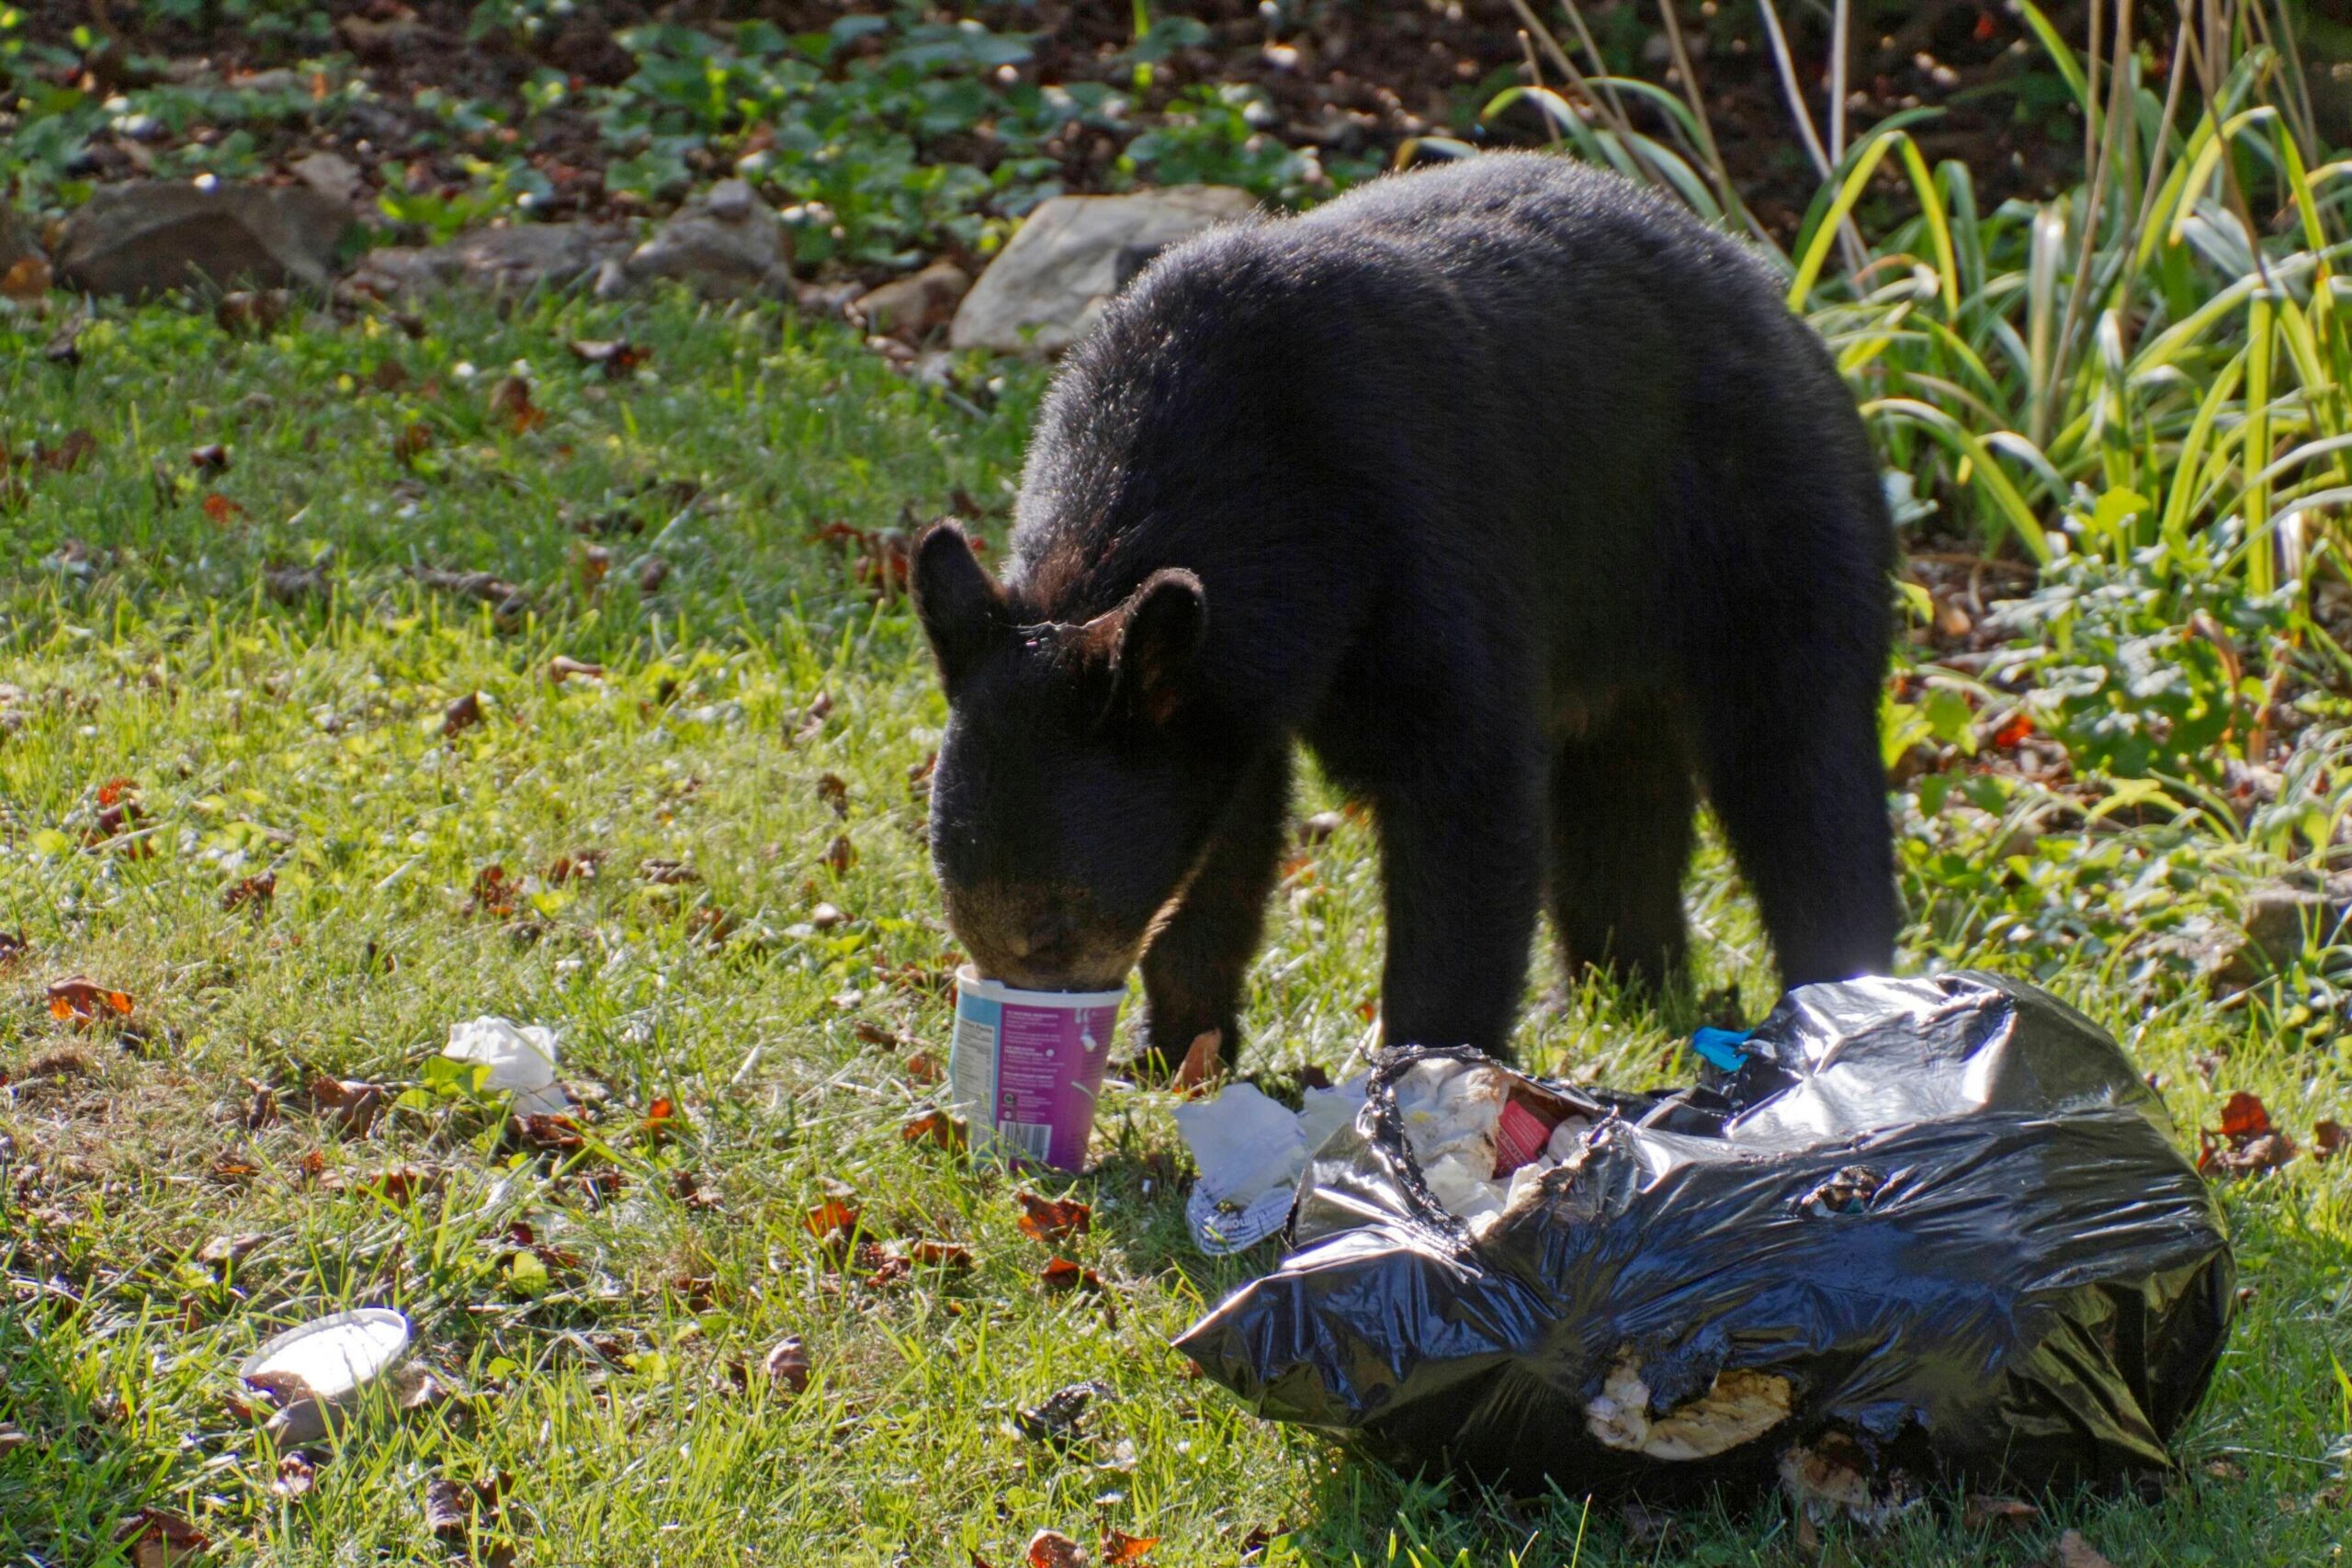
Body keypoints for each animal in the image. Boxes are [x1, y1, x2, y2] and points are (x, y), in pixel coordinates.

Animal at [912, 152, 1899, 1070]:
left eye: (1052, 927)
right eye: (963, 915)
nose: (1029, 1028)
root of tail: (1779, 299)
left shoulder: (1418, 532)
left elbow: (1467, 786)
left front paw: (1427, 1066)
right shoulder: (1224, 682)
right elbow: (1227, 839)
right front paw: (1176, 1048)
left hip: (1764, 527)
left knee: (1801, 765)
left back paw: (1841, 1002)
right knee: (1620, 796)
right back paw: (1615, 992)